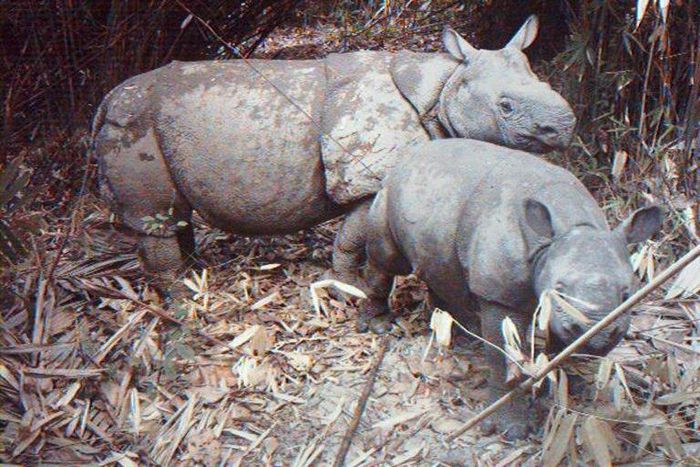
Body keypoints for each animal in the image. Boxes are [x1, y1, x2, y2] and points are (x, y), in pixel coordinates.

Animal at [92, 16, 575, 294]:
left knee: (174, 212)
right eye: (505, 106)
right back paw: (181, 296)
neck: (443, 87)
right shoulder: (369, 180)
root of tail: (104, 100)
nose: (565, 125)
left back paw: (193, 274)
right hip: (133, 123)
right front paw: (348, 287)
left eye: (550, 84)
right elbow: (353, 237)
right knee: (153, 215)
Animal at [362, 139, 662, 439]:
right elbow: (504, 354)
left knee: (441, 267)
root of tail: (410, 154)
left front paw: (561, 384)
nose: (597, 335)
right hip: (389, 194)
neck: (567, 229)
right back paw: (380, 325)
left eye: (627, 294)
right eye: (559, 289)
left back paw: (457, 331)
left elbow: (556, 346)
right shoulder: (500, 295)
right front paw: (512, 428)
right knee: (388, 258)